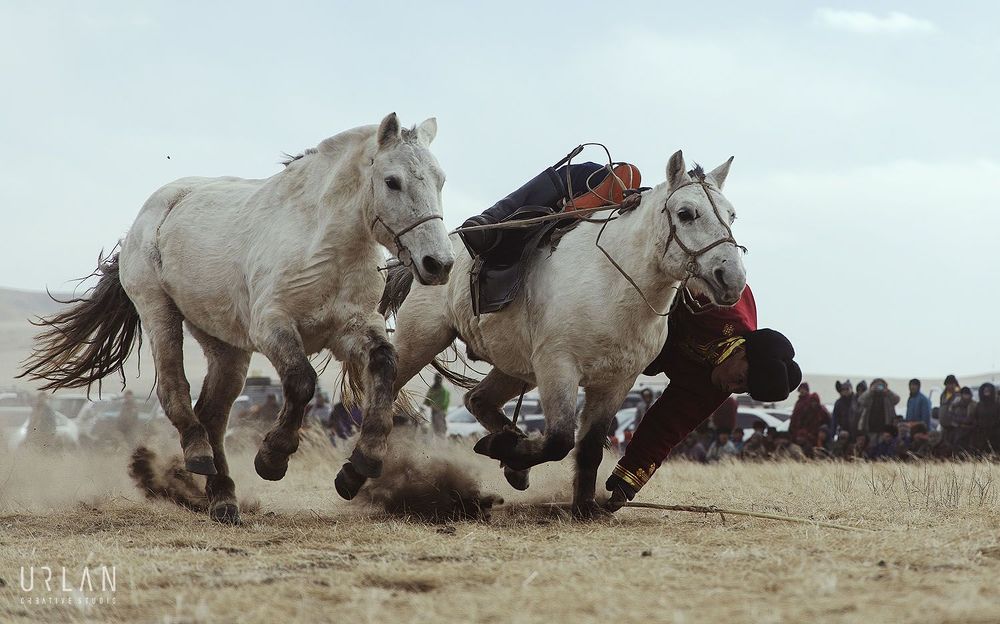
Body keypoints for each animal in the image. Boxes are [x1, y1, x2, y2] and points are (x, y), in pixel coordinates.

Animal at [20, 113, 455, 523]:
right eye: (392, 181)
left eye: (440, 180)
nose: (439, 263)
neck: (322, 246)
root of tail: (148, 215)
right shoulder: (272, 328)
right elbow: (301, 381)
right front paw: (272, 458)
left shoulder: (353, 329)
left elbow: (384, 365)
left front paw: (358, 468)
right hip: (160, 314)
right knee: (177, 393)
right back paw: (199, 457)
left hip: (225, 346)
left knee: (213, 414)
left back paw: (223, 498)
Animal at [359, 150, 747, 517]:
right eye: (686, 213)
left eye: (731, 216)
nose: (732, 278)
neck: (615, 282)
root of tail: (430, 258)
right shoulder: (557, 367)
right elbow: (560, 439)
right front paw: (506, 452)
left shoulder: (615, 382)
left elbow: (588, 448)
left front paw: (581, 506)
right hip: (420, 339)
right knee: (385, 393)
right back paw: (357, 470)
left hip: (516, 367)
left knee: (477, 399)